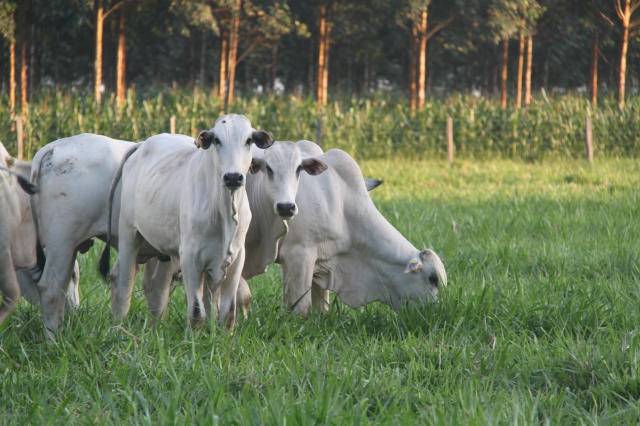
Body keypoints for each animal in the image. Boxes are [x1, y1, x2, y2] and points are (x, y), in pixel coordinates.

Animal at [102, 115, 276, 328]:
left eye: (249, 140)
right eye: (217, 140)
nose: (233, 177)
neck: (224, 211)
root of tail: (143, 144)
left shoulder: (236, 260)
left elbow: (227, 313)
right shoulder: (190, 258)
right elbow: (196, 312)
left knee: (157, 287)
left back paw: (156, 326)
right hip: (129, 234)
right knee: (124, 281)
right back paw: (119, 324)